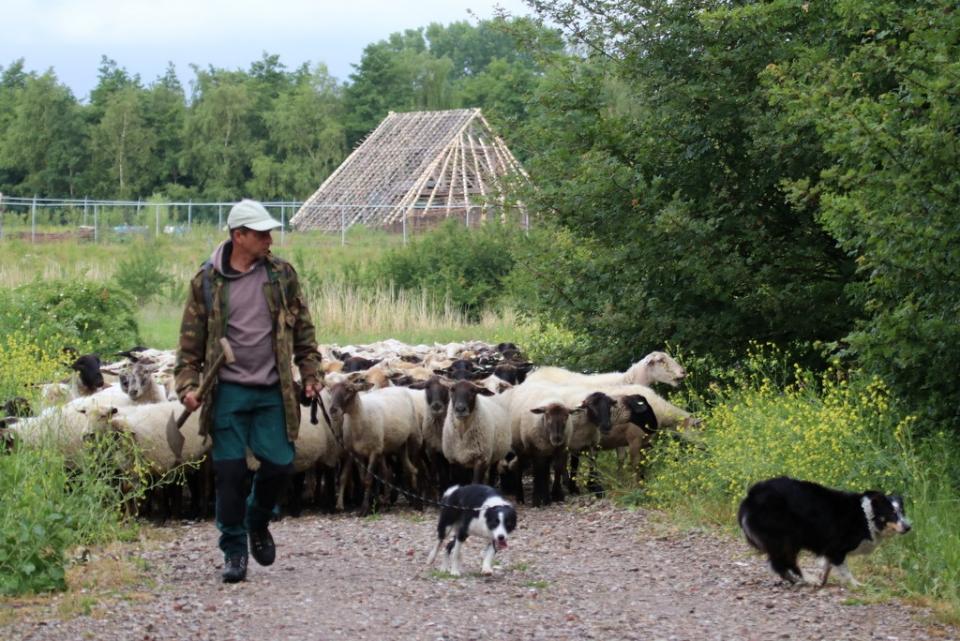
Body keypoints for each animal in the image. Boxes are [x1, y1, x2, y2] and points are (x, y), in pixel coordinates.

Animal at [740, 476, 912, 584]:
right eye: (891, 513)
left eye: (902, 512)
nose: (908, 527)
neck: (866, 515)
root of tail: (751, 496)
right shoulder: (837, 547)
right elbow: (844, 569)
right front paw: (856, 584)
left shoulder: (830, 549)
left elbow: (827, 566)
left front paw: (824, 579)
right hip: (788, 536)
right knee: (786, 562)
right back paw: (808, 579)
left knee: (779, 563)